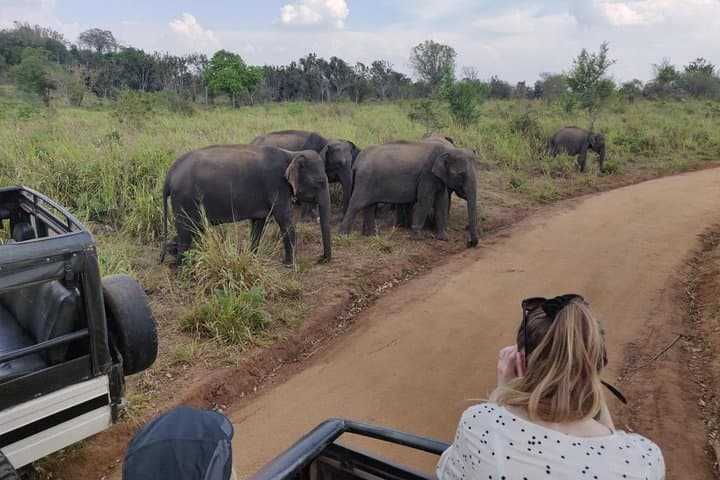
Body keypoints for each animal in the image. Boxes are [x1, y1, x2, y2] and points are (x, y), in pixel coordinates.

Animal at [160, 144, 331, 266]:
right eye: (321, 182)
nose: (321, 259)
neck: (292, 154)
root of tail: (169, 175)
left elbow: (258, 223)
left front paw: (252, 258)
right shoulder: (276, 184)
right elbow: (285, 219)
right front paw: (290, 265)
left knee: (192, 229)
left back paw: (170, 253)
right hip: (184, 199)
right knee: (186, 230)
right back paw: (181, 265)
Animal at [339, 141, 479, 247]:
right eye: (460, 174)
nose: (469, 243)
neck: (447, 150)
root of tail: (357, 162)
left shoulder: (438, 177)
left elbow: (442, 201)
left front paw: (443, 238)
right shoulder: (427, 175)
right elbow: (425, 201)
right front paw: (417, 238)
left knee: (370, 205)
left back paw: (370, 235)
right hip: (365, 180)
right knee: (357, 204)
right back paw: (343, 235)